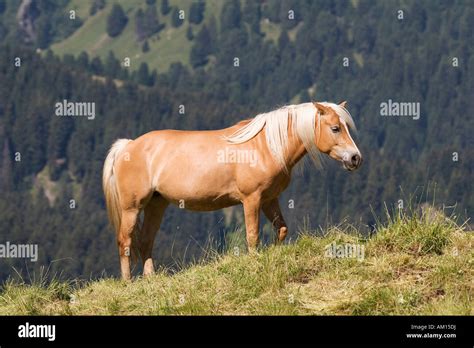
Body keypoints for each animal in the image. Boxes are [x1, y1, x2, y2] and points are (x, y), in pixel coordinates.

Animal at [103, 101, 362, 280]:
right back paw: (127, 282)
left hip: (157, 203)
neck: (266, 145)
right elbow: (252, 235)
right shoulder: (251, 199)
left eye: (346, 127)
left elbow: (282, 229)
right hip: (131, 207)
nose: (355, 158)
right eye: (335, 128)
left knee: (146, 240)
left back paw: (151, 279)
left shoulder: (270, 200)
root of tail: (128, 146)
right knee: (125, 242)